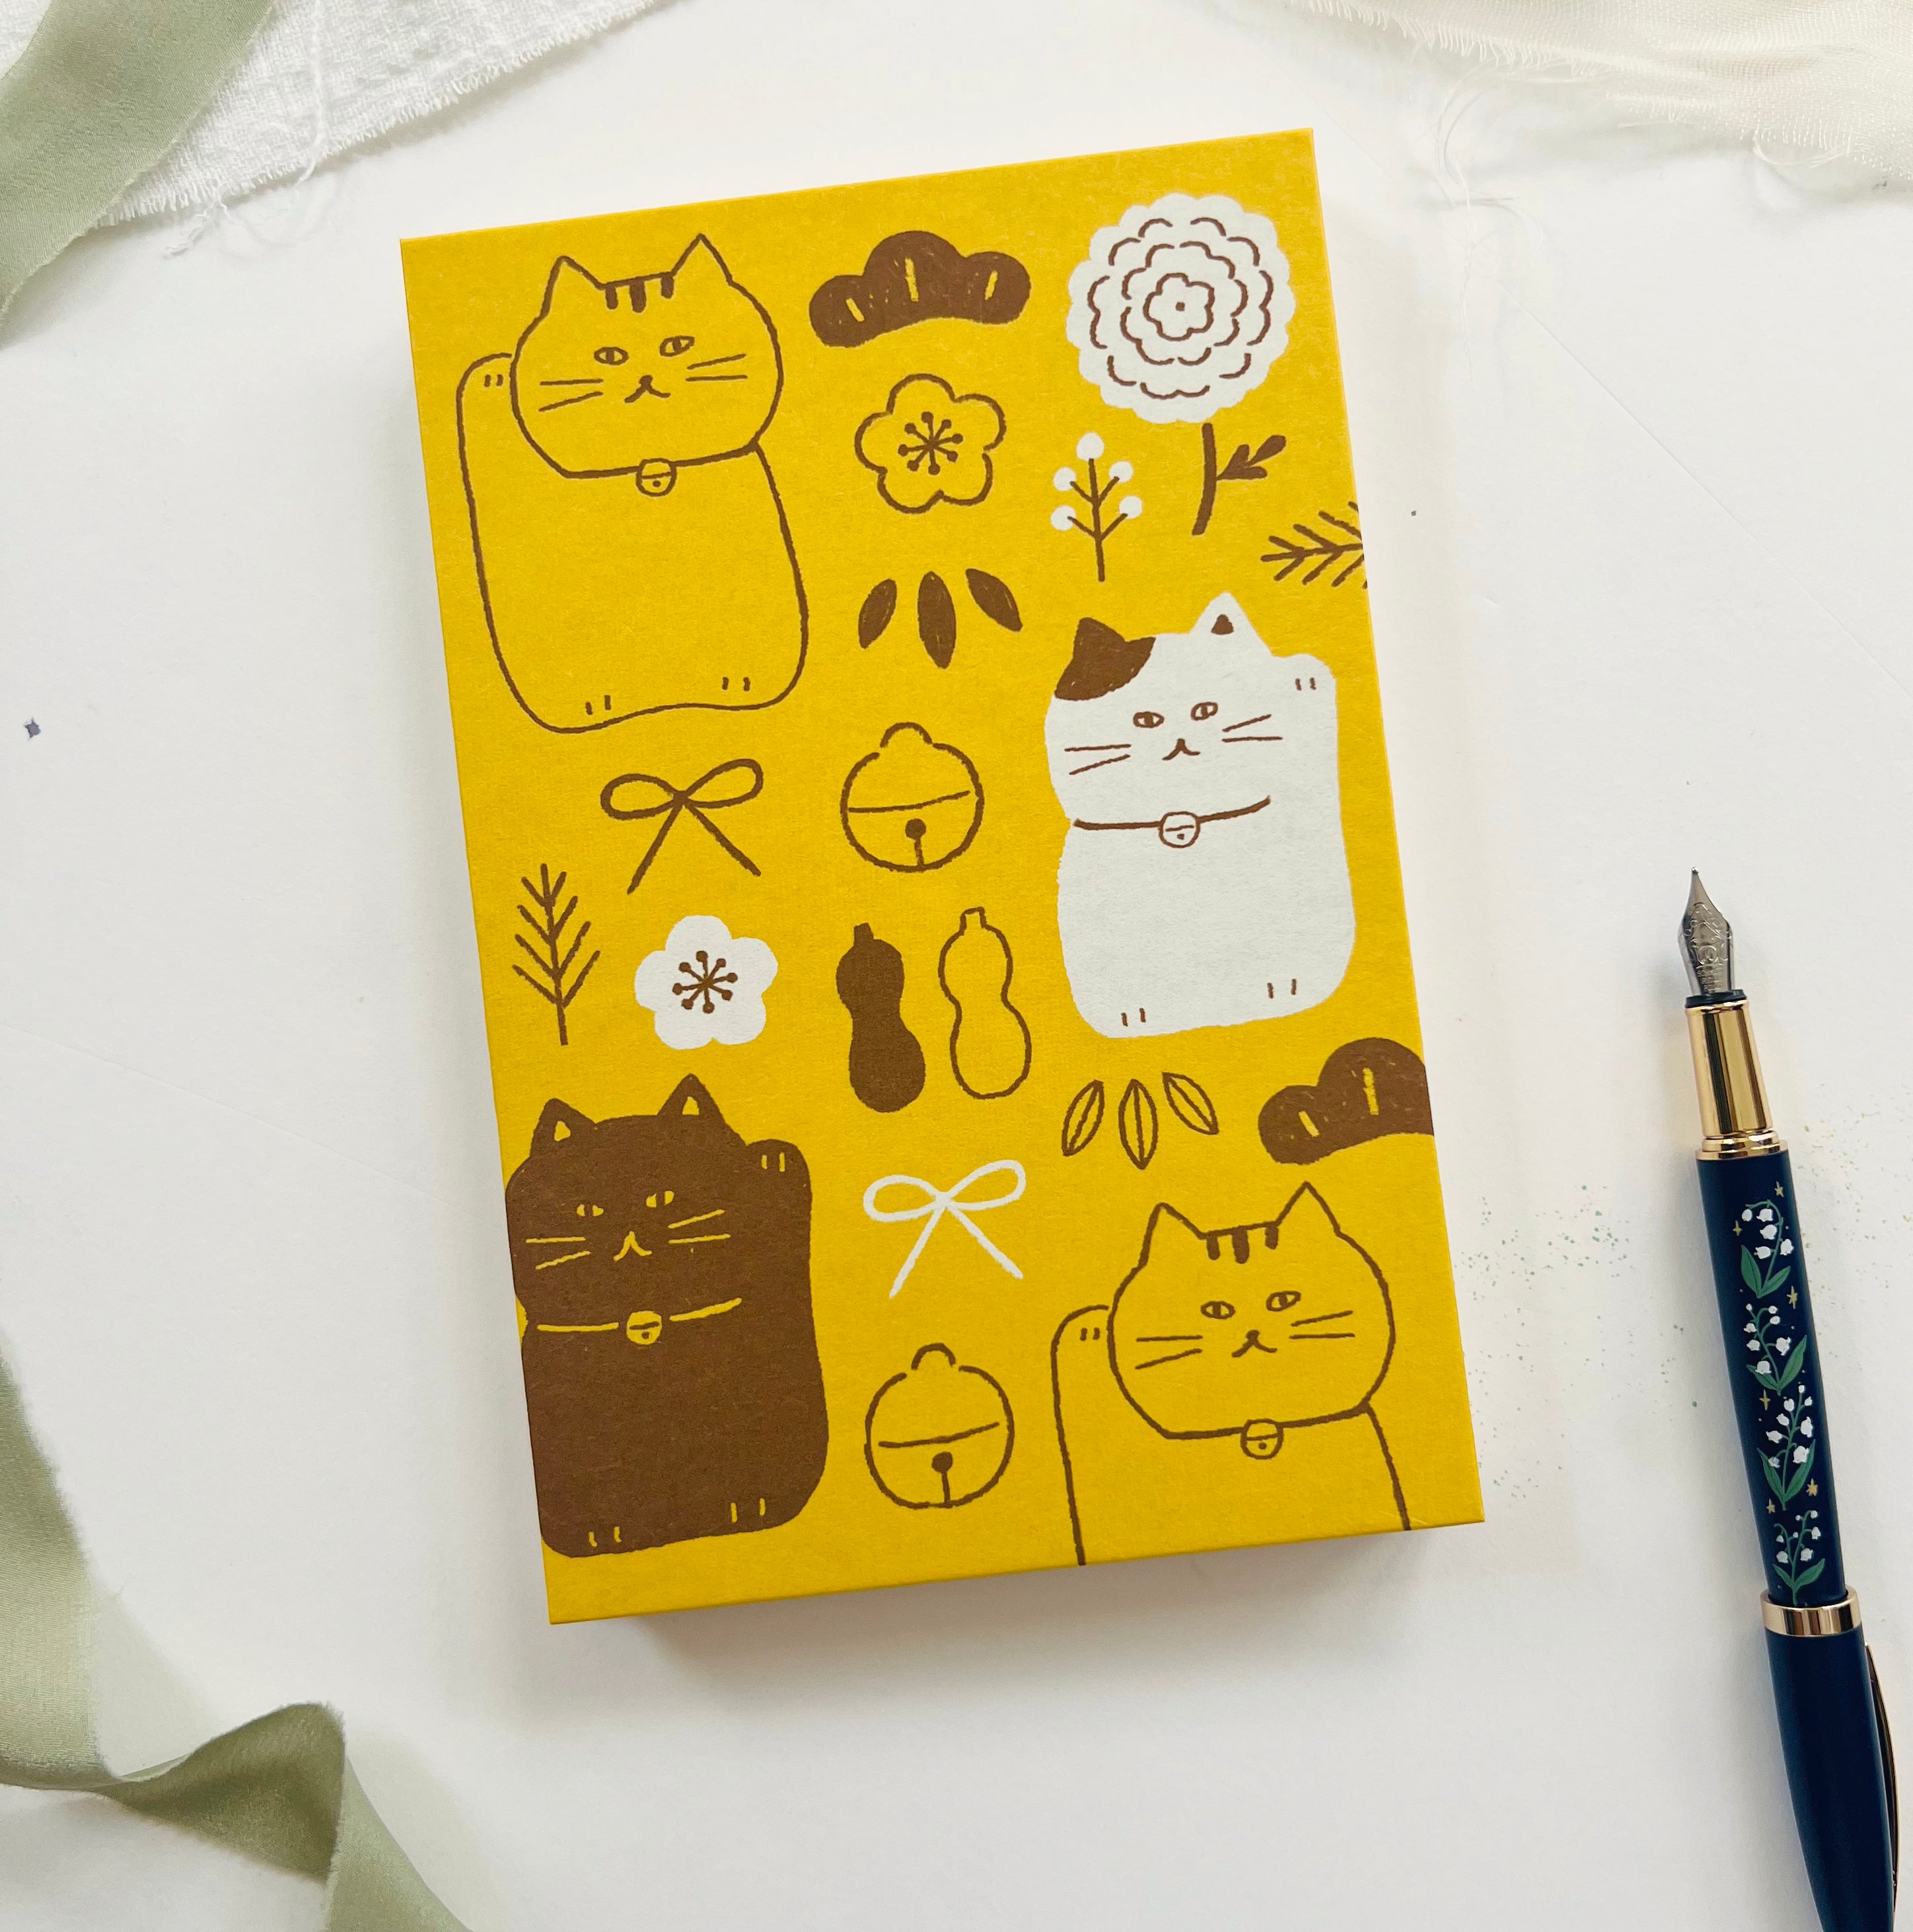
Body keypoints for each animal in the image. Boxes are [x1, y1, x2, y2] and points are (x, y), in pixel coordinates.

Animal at [456, 236, 807, 732]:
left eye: (677, 345)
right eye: (610, 356)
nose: (644, 376)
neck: (650, 469)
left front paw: (736, 680)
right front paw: (493, 376)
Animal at [503, 1074, 827, 1557]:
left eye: (662, 1197)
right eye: (588, 1210)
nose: (628, 1229)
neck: (648, 1324)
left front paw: (746, 1505)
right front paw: (601, 1530)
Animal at [1042, 591, 1353, 1037]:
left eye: (1206, 710)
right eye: (1146, 720)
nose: (1180, 736)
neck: (1186, 818)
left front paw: (1278, 985)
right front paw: (1132, 1011)